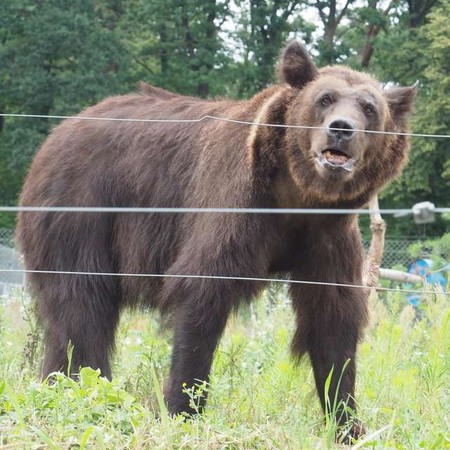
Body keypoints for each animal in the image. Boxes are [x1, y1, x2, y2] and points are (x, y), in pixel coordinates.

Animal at [18, 40, 414, 442]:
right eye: (325, 98)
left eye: (369, 108)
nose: (341, 129)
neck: (296, 197)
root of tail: (57, 132)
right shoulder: (234, 208)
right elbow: (203, 296)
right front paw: (180, 409)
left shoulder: (326, 236)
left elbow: (332, 319)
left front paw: (349, 424)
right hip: (80, 211)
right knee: (81, 304)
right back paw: (79, 387)